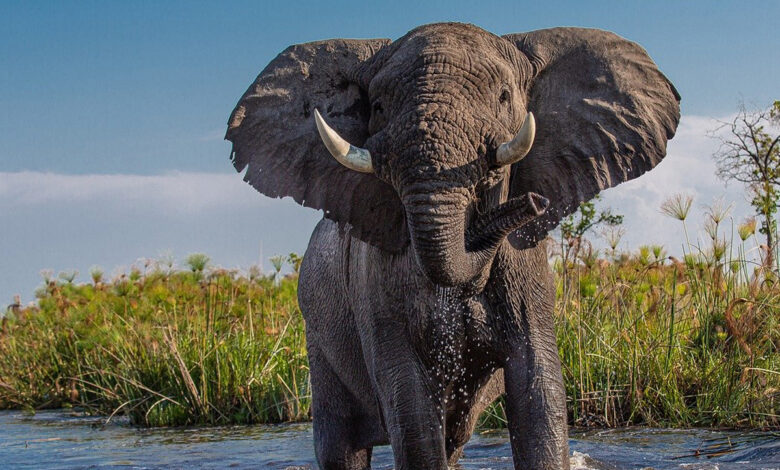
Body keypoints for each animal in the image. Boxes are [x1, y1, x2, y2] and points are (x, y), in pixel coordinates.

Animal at [225, 23, 680, 469]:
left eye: (504, 97)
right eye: (378, 107)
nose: (534, 202)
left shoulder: (527, 272)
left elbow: (539, 387)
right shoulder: (375, 280)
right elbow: (408, 402)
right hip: (318, 333)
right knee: (342, 445)